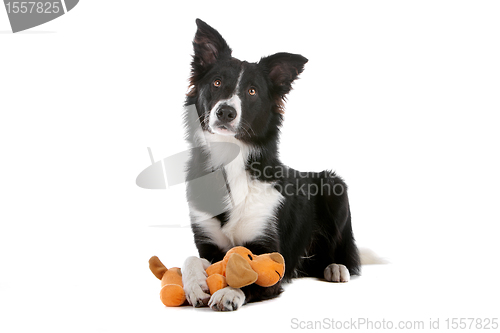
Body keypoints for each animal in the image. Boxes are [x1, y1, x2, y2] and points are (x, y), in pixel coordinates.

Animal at [182, 19, 362, 310]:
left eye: (252, 91)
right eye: (217, 83)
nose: (225, 112)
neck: (230, 160)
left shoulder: (269, 249)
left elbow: (251, 273)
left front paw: (229, 292)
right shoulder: (208, 244)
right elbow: (191, 259)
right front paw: (195, 284)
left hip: (334, 186)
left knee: (344, 254)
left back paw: (336, 268)